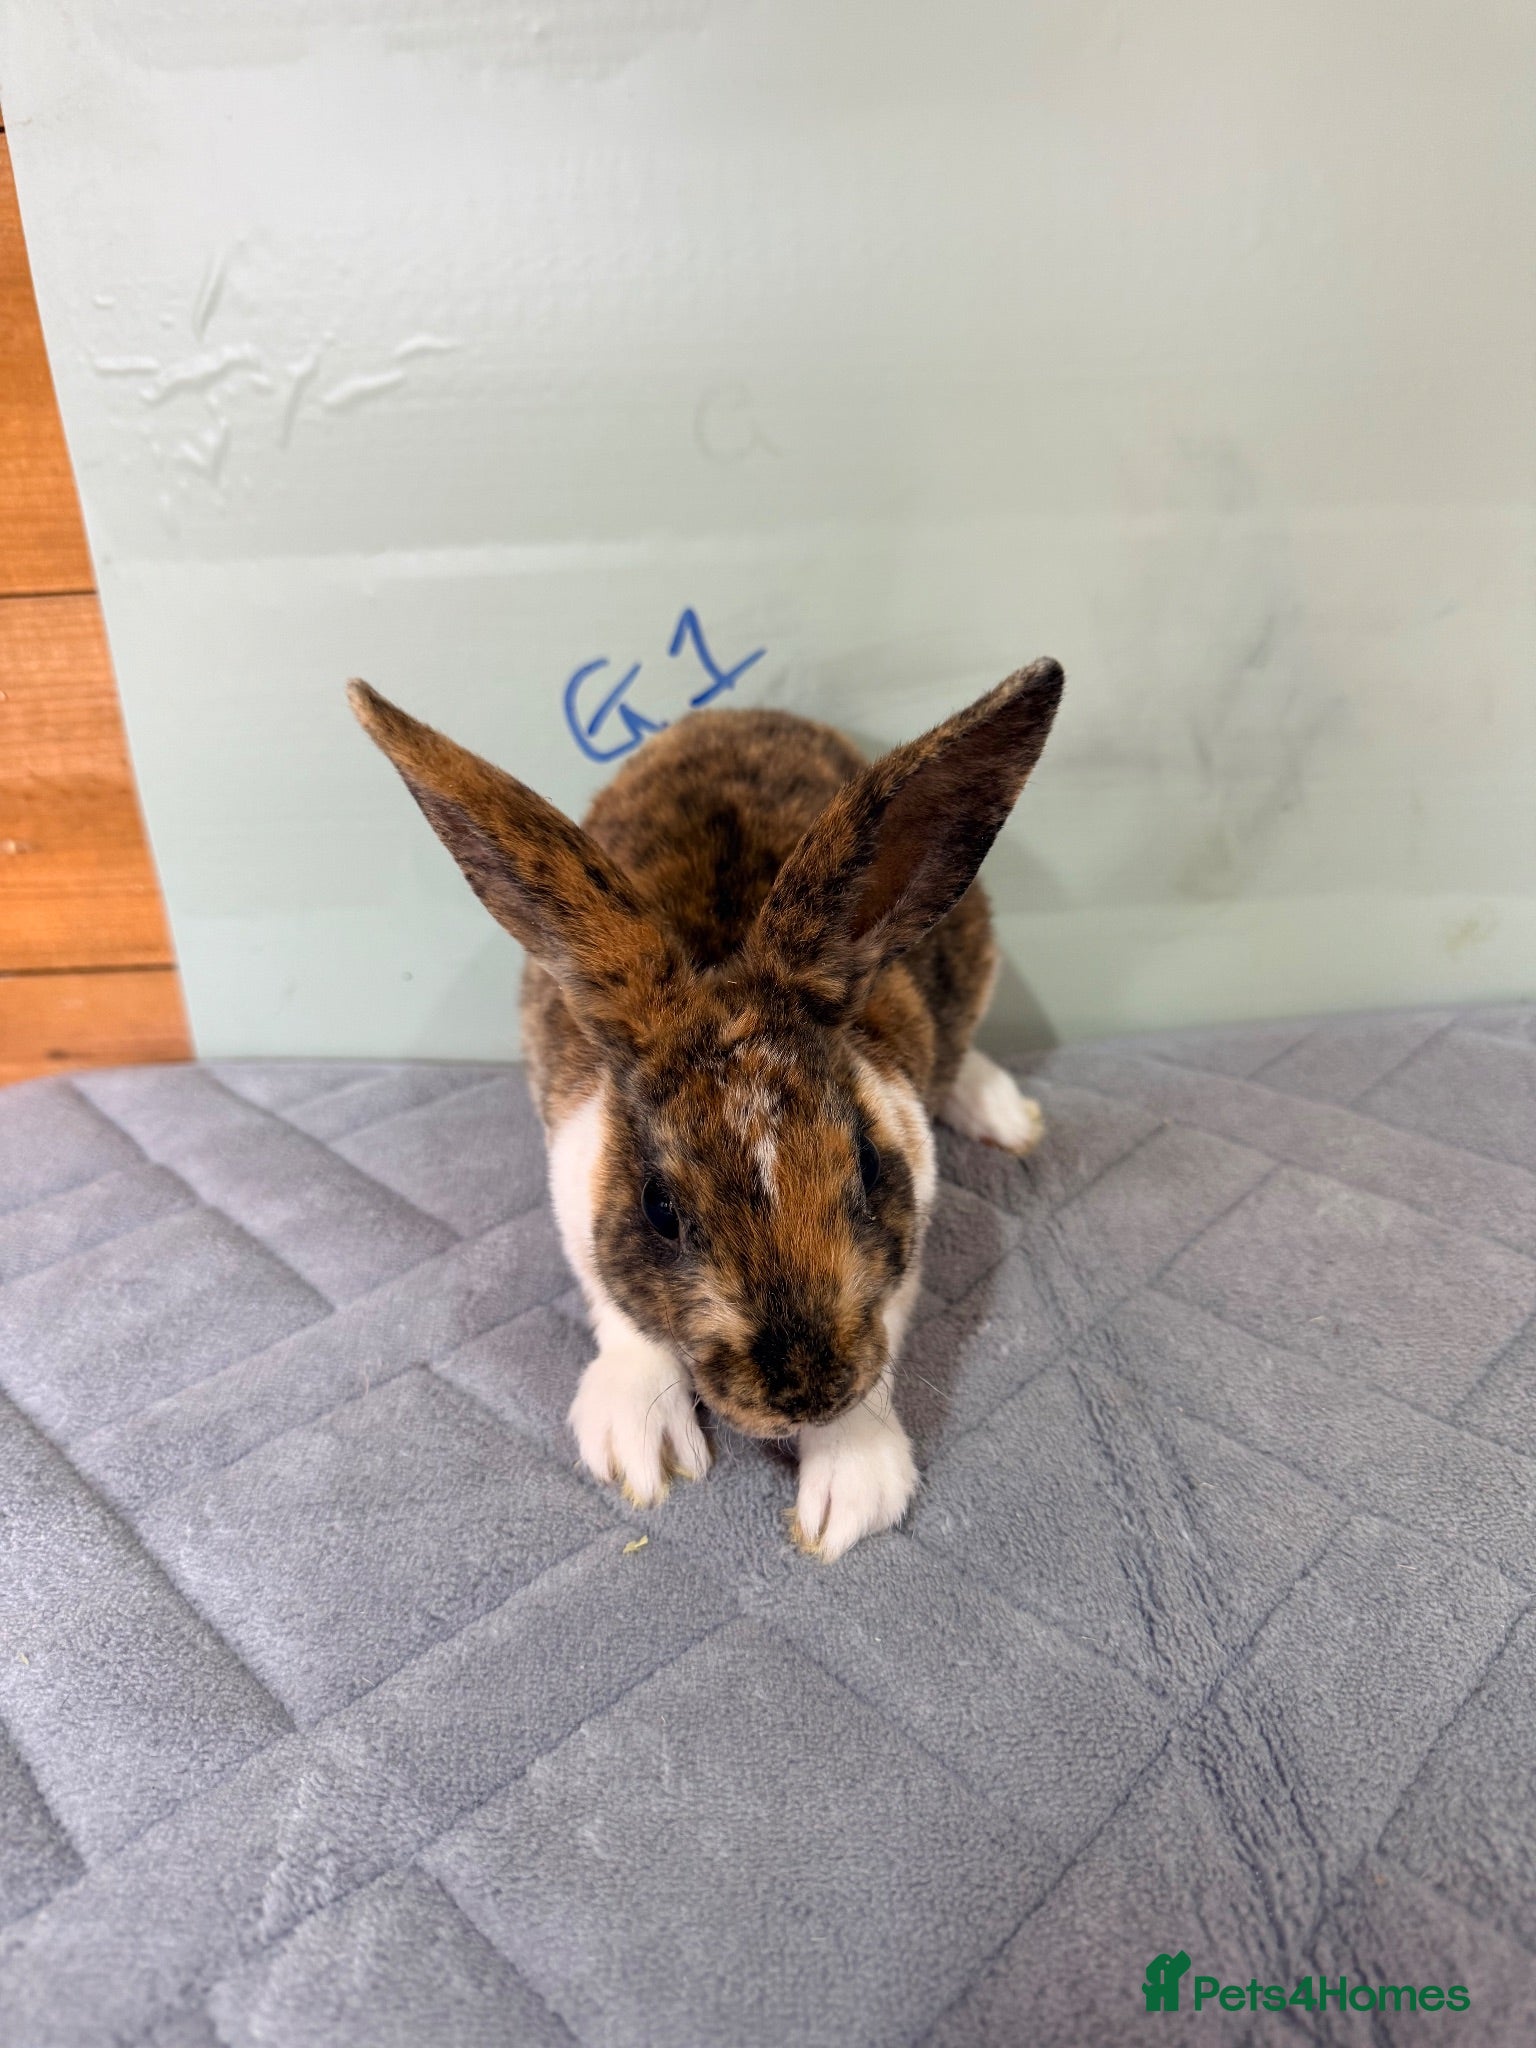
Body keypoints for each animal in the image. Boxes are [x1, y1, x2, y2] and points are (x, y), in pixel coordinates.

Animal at [348, 657, 1063, 1559]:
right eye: (661, 1210)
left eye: (866, 1167)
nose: (805, 1393)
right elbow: (621, 1320)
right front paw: (639, 1448)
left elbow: (886, 1347)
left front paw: (848, 1491)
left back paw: (1005, 1115)